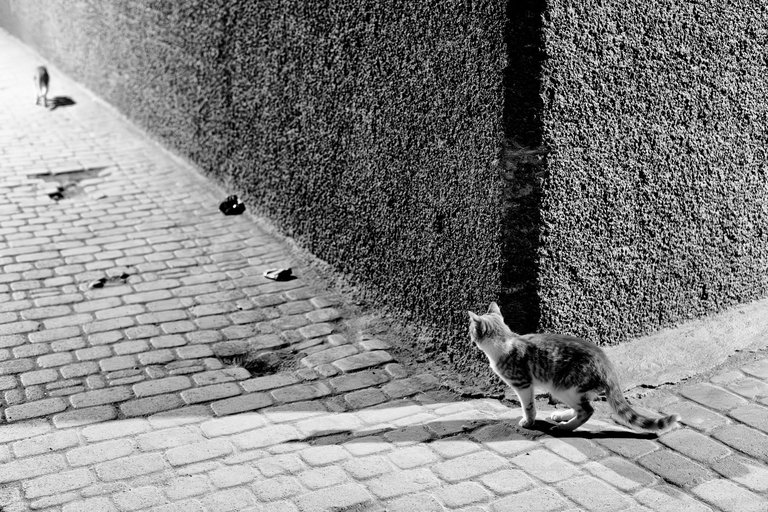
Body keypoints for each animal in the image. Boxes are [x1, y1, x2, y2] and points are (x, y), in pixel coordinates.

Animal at [468, 304, 680, 432]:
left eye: (470, 329)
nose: (468, 336)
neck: (505, 339)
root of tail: (607, 364)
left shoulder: (523, 384)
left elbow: (528, 406)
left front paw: (528, 421)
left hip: (564, 387)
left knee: (588, 411)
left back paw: (565, 427)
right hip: (569, 389)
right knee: (583, 406)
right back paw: (563, 415)